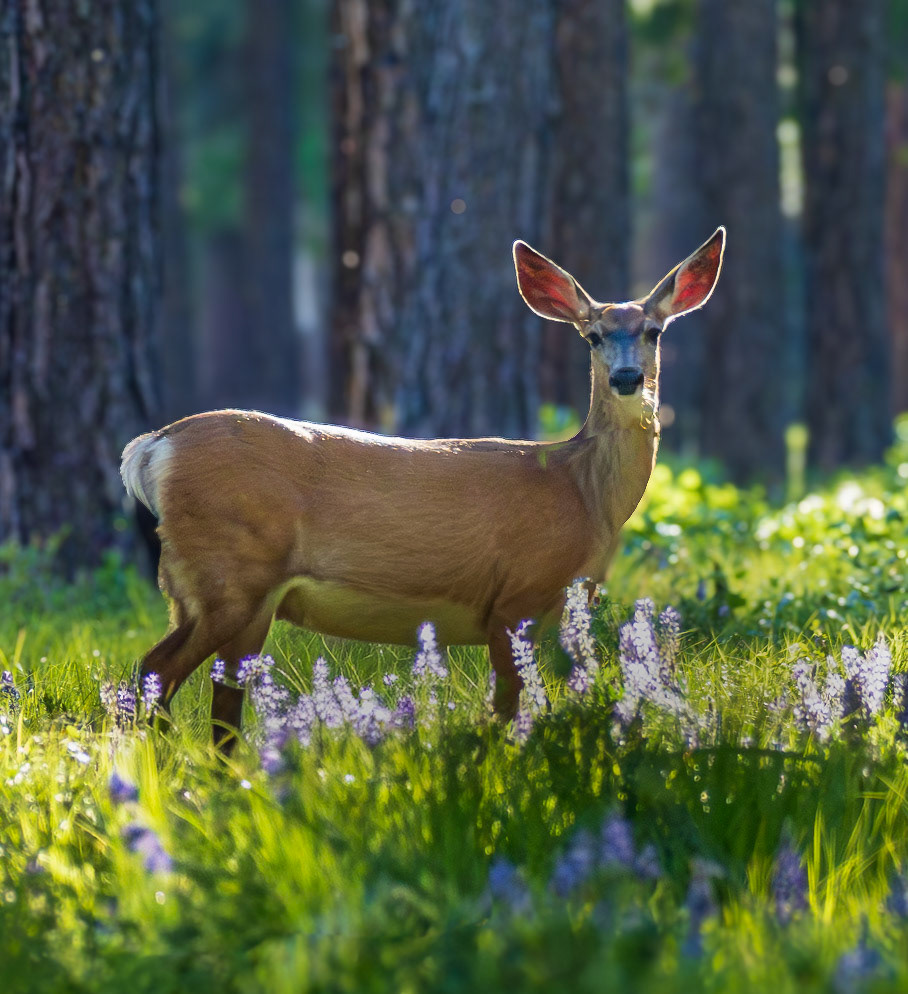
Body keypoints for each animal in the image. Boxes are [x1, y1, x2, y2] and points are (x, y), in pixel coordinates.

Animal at [121, 227, 725, 750]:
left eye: (654, 331)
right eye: (593, 335)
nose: (626, 378)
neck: (583, 493)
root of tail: (151, 448)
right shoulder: (514, 599)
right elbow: (505, 712)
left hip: (245, 597)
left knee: (220, 699)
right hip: (226, 573)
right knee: (155, 672)